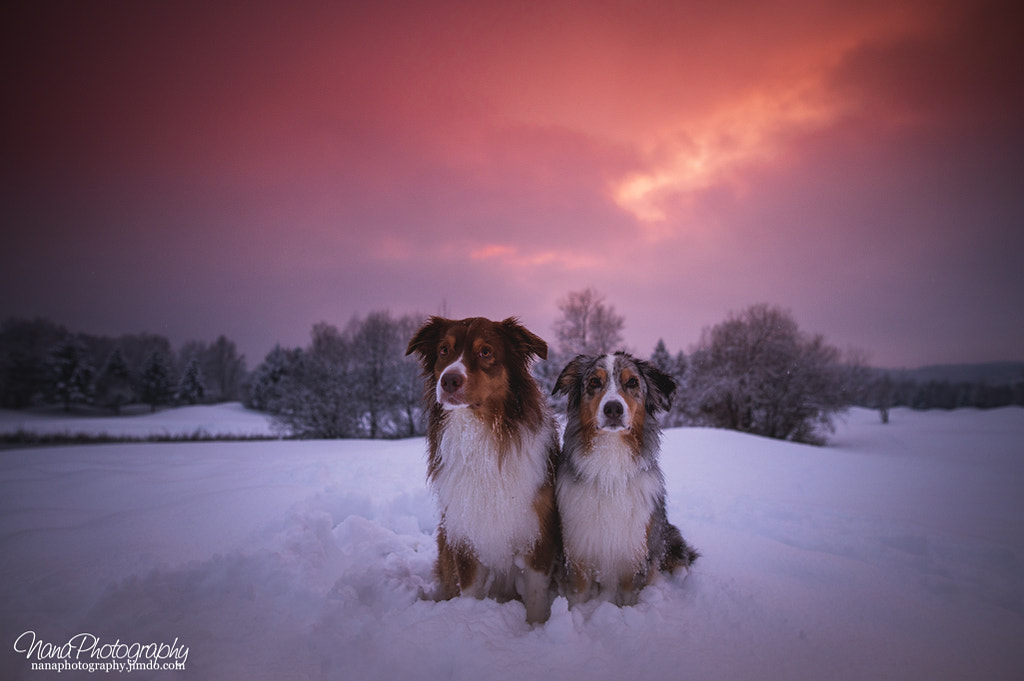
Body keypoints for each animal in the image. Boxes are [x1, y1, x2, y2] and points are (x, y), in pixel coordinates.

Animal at [403, 315, 561, 622]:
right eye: (443, 350)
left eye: (486, 352)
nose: (449, 380)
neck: (481, 432)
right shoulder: (465, 533)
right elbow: (469, 589)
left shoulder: (538, 532)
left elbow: (536, 595)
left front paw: (537, 626)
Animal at [557, 352, 700, 602]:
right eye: (594, 382)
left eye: (632, 382)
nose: (613, 409)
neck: (610, 467)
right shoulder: (578, 551)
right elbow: (578, 597)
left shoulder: (635, 553)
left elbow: (629, 597)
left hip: (665, 532)